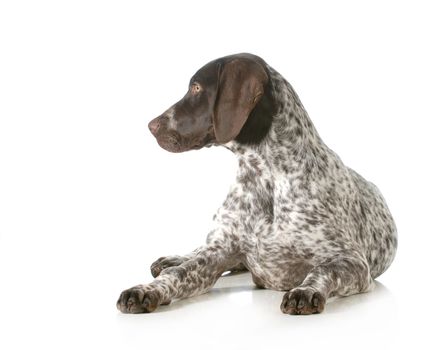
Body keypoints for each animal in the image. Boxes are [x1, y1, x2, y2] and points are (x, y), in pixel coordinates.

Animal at [115, 54, 396, 314]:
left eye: (196, 88)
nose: (151, 125)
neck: (266, 176)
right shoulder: (216, 254)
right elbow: (179, 273)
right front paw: (146, 289)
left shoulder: (352, 261)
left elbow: (322, 270)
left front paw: (305, 290)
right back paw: (171, 259)